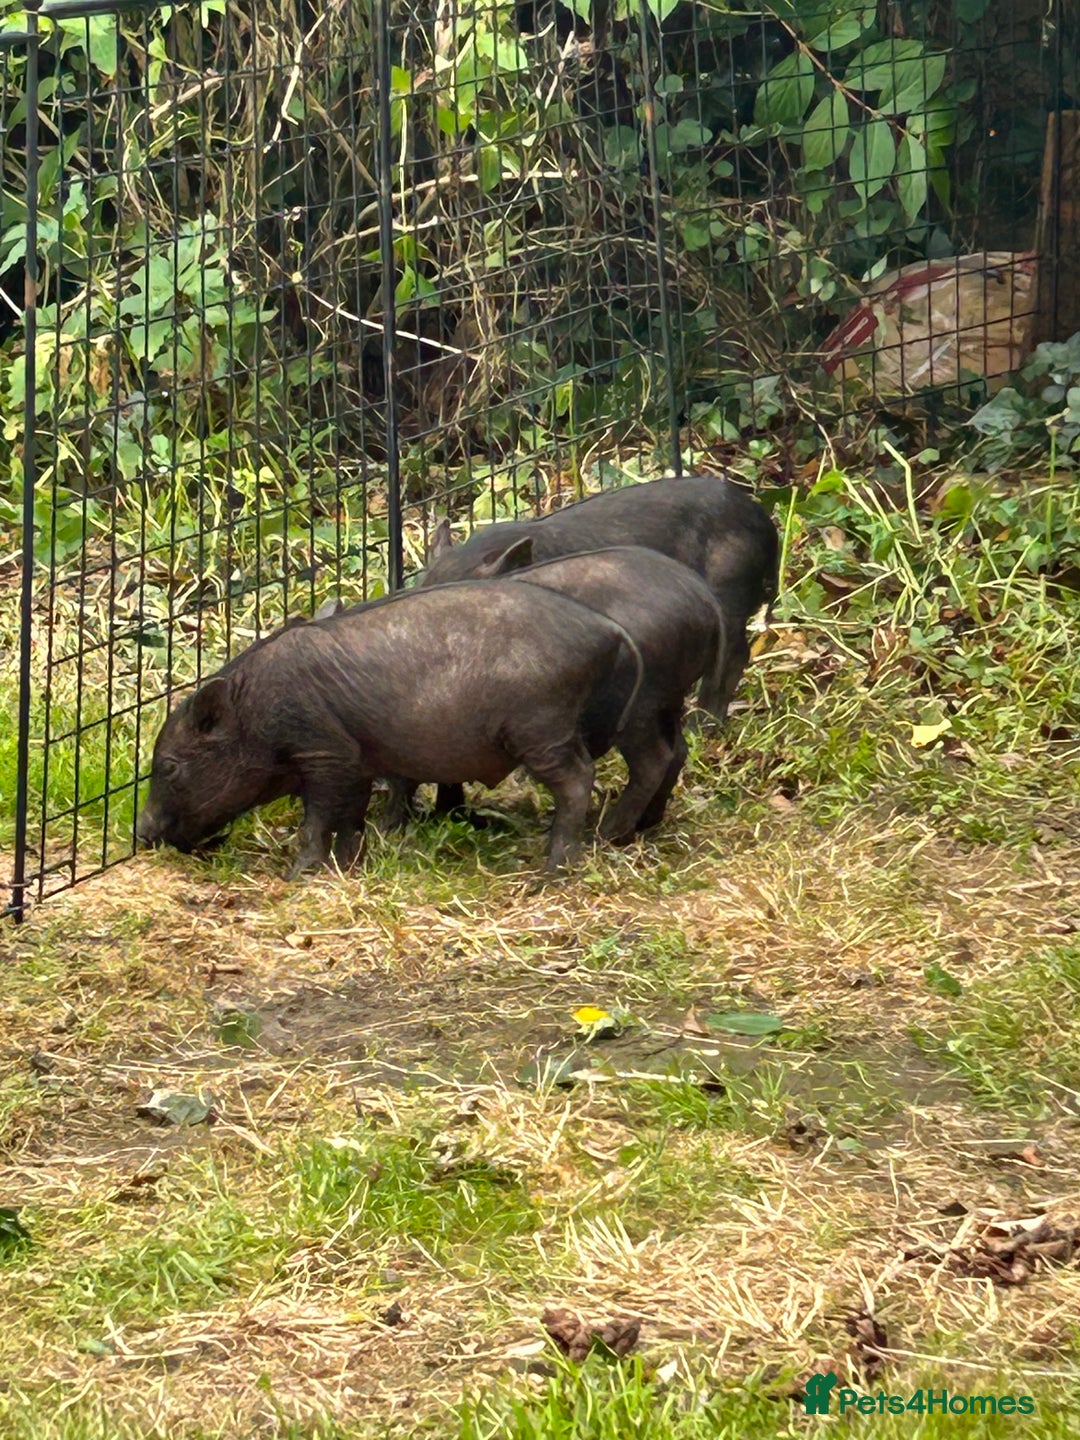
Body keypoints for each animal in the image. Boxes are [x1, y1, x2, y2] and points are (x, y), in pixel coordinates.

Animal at [135, 580, 643, 876]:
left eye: (170, 766)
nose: (140, 832)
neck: (253, 714)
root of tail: (607, 628)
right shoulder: (357, 762)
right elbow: (351, 818)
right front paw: (349, 864)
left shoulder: (323, 753)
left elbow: (316, 820)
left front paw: (297, 874)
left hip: (541, 726)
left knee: (578, 779)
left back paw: (554, 869)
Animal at [386, 543, 726, 842]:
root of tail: (705, 599)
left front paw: (394, 829)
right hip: (670, 697)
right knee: (678, 751)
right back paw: (644, 823)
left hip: (641, 704)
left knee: (654, 760)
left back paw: (607, 834)